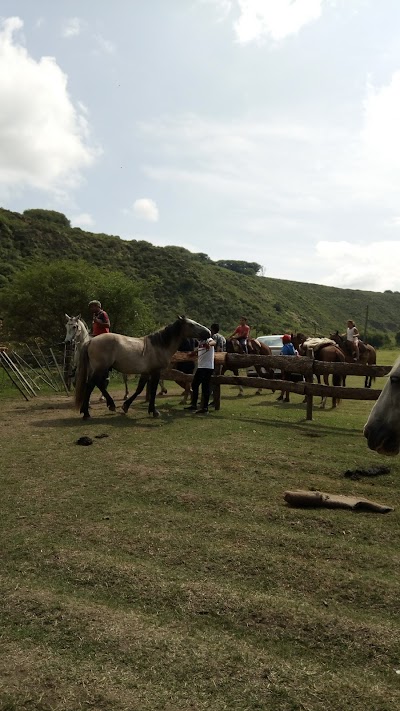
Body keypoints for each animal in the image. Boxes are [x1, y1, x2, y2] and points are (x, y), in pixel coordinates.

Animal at [76, 316, 212, 418]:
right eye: (191, 325)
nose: (208, 332)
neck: (159, 345)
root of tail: (91, 341)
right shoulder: (156, 372)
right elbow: (152, 390)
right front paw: (154, 411)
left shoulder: (146, 373)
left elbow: (139, 389)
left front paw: (126, 406)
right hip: (100, 368)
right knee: (91, 385)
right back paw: (87, 413)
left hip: (100, 369)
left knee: (97, 384)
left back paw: (109, 405)